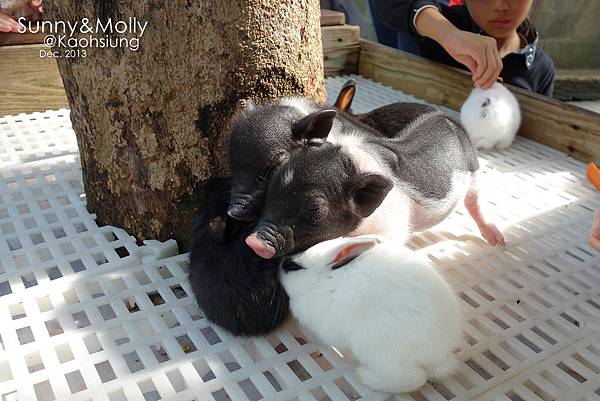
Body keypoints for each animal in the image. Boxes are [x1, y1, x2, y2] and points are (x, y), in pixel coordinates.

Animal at [246, 109, 504, 258]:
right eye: (271, 190)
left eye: (314, 208)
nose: (253, 241)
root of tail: (450, 119)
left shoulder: (394, 227)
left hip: (474, 172)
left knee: (475, 202)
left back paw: (497, 240)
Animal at [282, 233, 464, 392]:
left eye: (294, 266)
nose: (282, 262)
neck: (323, 280)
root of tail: (440, 355)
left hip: (380, 351)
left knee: (414, 379)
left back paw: (364, 376)